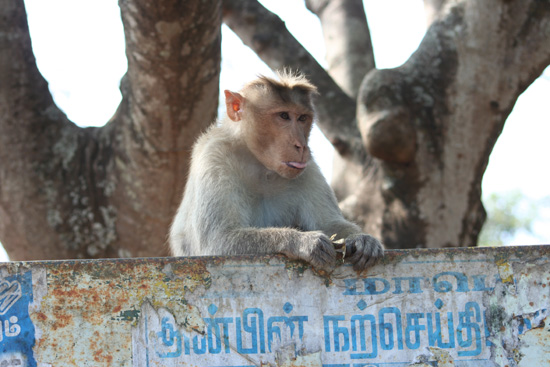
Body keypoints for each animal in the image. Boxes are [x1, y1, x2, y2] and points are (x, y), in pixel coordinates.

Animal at [171, 71, 384, 274]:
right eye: (283, 116)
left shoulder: (307, 168)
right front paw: (302, 241)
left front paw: (363, 239)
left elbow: (330, 223)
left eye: (302, 118)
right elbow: (218, 239)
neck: (261, 165)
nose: (301, 146)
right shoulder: (214, 158)